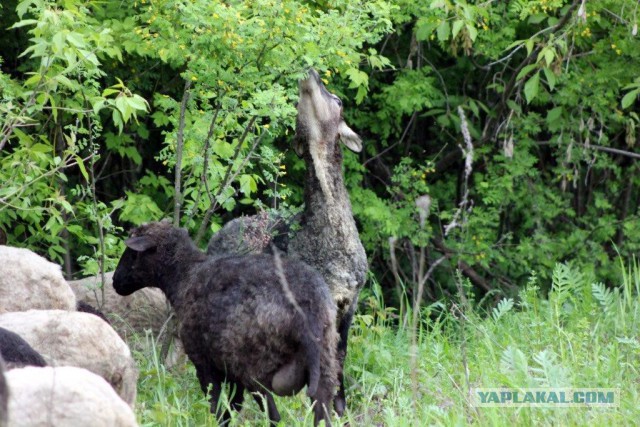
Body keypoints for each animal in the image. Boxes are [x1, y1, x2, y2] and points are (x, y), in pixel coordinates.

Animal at [112, 222, 338, 426]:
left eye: (132, 253)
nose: (115, 281)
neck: (184, 276)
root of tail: (308, 307)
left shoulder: (204, 362)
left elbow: (217, 407)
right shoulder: (232, 370)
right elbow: (233, 407)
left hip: (255, 369)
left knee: (274, 416)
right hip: (324, 365)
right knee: (322, 413)